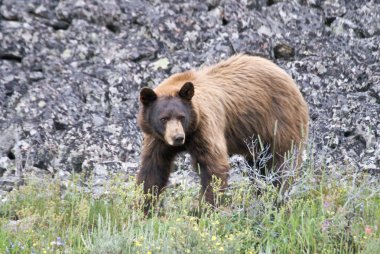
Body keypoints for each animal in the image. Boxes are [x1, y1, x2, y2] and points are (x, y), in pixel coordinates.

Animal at [137, 53, 308, 210]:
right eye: (163, 118)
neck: (190, 131)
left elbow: (213, 165)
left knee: (281, 163)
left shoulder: (205, 126)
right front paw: (143, 206)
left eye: (181, 117)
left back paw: (278, 197)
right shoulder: (157, 138)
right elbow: (154, 167)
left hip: (280, 122)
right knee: (259, 166)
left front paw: (205, 209)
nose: (178, 137)